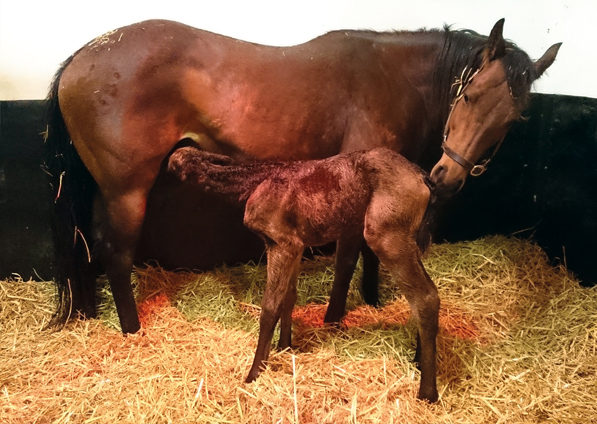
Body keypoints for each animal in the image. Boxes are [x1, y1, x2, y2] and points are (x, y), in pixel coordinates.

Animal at [166, 146, 438, 400]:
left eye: (174, 165)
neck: (252, 185)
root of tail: (423, 178)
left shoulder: (280, 241)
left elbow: (270, 307)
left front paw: (254, 372)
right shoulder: (296, 244)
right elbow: (289, 297)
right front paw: (284, 346)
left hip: (386, 232)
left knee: (424, 297)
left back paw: (428, 391)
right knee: (429, 291)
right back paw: (418, 360)